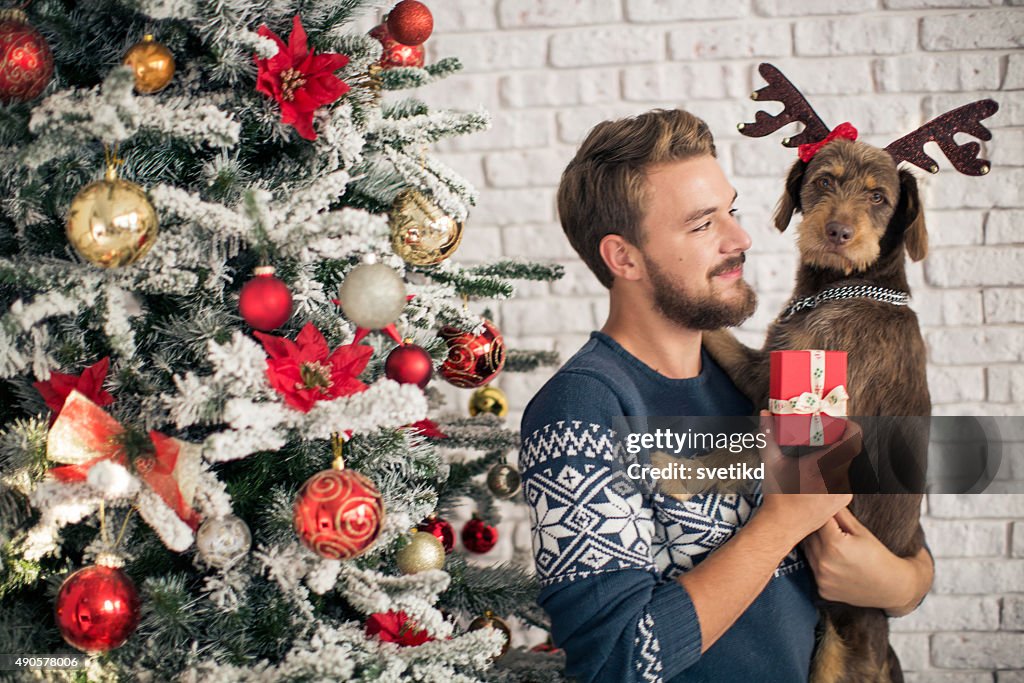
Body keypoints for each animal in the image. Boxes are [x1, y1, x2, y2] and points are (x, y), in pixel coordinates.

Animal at [700, 63, 995, 683]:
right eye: (823, 182)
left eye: (880, 197)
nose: (837, 231)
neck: (852, 285)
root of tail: (880, 637)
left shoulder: (785, 386)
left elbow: (723, 341)